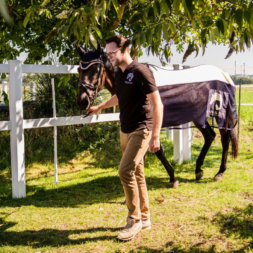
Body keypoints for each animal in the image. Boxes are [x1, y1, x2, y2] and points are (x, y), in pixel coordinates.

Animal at [76, 43, 238, 187]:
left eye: (95, 70)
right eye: (79, 69)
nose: (82, 101)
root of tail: (224, 75)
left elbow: (158, 150)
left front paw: (172, 178)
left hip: (220, 115)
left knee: (225, 139)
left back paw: (219, 172)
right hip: (198, 116)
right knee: (210, 136)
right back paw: (198, 170)